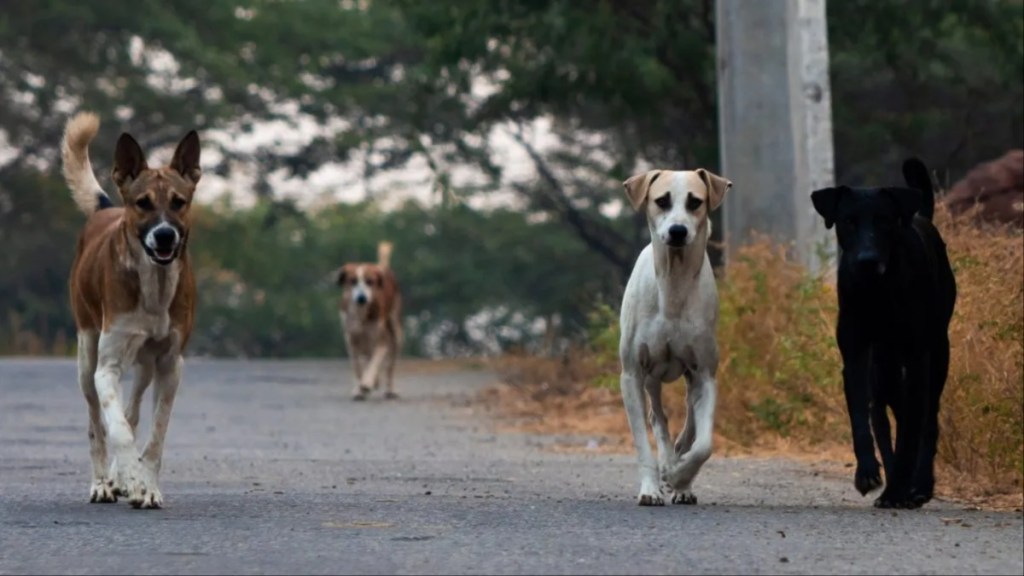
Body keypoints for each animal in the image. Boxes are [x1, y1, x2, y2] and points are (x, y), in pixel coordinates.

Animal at [63, 111, 201, 506]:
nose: (165, 235)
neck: (154, 284)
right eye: (143, 203)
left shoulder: (170, 364)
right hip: (87, 353)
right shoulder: (107, 366)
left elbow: (154, 434)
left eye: (178, 201)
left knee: (133, 409)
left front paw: (147, 485)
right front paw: (130, 477)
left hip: (144, 367)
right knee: (97, 422)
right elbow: (118, 431)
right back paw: (102, 482)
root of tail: (107, 209)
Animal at [333, 241, 401, 399]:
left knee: (390, 364)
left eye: (370, 282)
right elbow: (357, 366)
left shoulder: (381, 339)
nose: (361, 297)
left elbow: (375, 361)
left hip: (395, 329)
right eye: (352, 281)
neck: (360, 314)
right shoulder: (351, 339)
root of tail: (382, 268)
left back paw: (389, 389)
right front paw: (359, 390)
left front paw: (367, 383)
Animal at [618, 166, 733, 502]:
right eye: (662, 200)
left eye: (695, 201)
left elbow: (704, 444)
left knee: (689, 422)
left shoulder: (705, 372)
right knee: (657, 416)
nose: (678, 231)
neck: (674, 285)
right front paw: (651, 487)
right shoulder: (631, 373)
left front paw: (680, 477)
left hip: (690, 376)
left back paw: (679, 474)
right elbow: (643, 441)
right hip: (651, 376)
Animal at [811, 156, 954, 506]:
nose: (867, 260)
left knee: (927, 420)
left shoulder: (917, 360)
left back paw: (919, 485)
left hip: (938, 354)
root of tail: (922, 217)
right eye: (848, 221)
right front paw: (868, 473)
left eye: (885, 222)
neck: (877, 292)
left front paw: (901, 487)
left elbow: (910, 434)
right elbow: (861, 421)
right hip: (887, 371)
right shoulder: (856, 357)